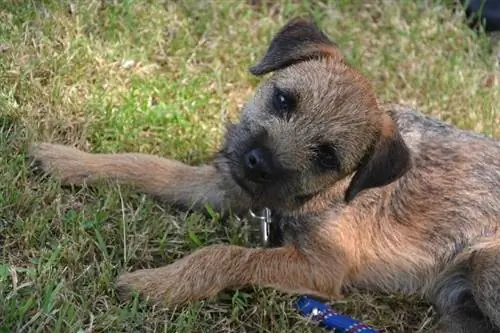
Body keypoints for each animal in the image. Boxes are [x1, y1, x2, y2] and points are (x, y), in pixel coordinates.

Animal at [30, 18, 500, 332]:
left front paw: (158, 283)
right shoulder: (231, 185)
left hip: (485, 264)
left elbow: (224, 255)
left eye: (327, 156)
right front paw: (69, 160)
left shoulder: (321, 268)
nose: (257, 161)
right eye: (283, 99)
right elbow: (150, 166)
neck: (331, 194)